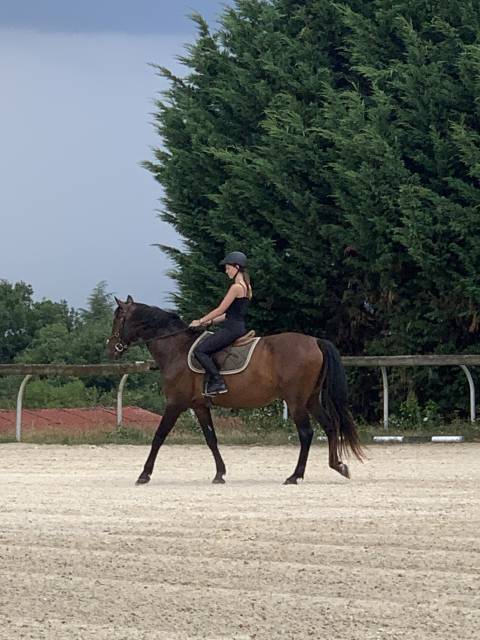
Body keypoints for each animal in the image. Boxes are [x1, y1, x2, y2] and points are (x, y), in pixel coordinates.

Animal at [107, 296, 364, 485]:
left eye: (118, 319)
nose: (110, 349)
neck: (176, 348)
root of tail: (315, 341)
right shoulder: (199, 406)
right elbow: (211, 438)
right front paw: (220, 474)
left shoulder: (175, 403)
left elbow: (159, 436)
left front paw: (144, 475)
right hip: (310, 400)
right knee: (330, 426)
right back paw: (338, 466)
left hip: (296, 402)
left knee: (306, 433)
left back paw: (295, 476)